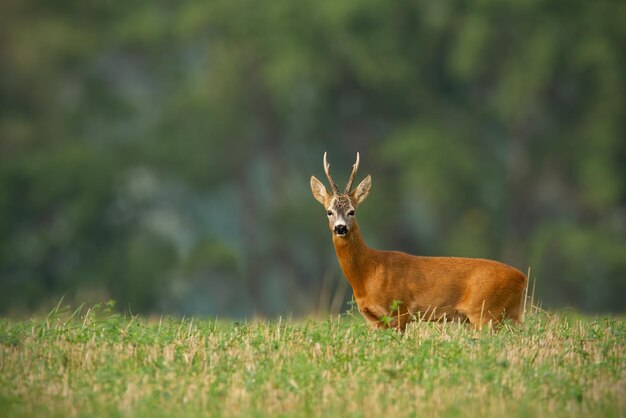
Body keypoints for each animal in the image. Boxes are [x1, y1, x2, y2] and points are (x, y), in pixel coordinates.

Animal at [310, 153, 524, 330]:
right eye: (329, 211)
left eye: (352, 211)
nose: (340, 228)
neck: (368, 273)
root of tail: (522, 278)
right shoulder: (372, 318)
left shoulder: (400, 310)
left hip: (485, 312)